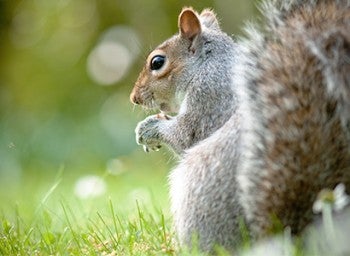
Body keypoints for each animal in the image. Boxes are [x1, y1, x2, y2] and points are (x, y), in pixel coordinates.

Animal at [129, 0, 350, 252]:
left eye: (157, 62)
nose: (134, 98)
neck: (209, 64)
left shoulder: (210, 97)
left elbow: (186, 135)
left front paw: (149, 128)